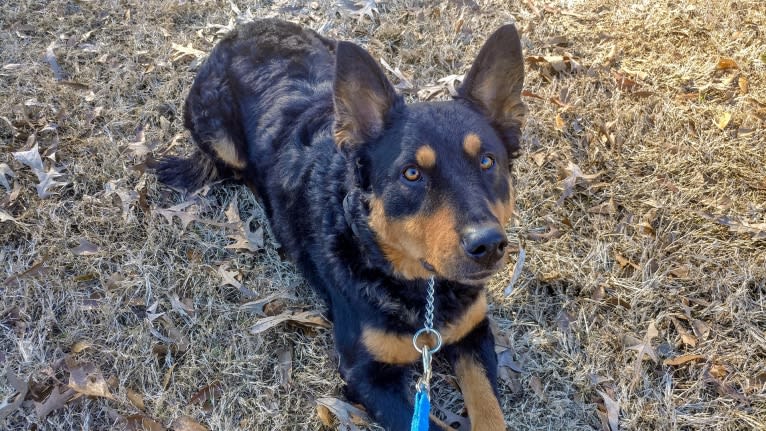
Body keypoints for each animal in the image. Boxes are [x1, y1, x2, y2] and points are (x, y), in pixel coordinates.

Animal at [156, 18, 528, 430]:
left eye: (487, 161)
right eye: (411, 173)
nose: (489, 245)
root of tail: (245, 29)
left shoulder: (474, 331)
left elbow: (490, 410)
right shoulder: (366, 373)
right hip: (218, 136)